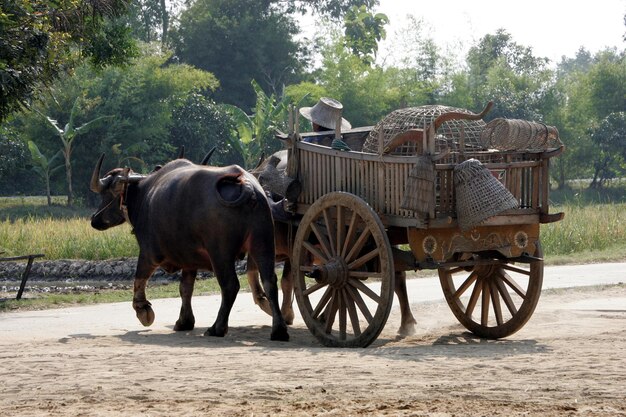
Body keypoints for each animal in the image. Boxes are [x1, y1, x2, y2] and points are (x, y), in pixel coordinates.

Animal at [89, 154, 288, 340]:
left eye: (105, 194)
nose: (94, 220)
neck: (144, 194)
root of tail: (247, 186)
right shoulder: (189, 258)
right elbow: (185, 288)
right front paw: (184, 321)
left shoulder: (148, 252)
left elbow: (139, 278)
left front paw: (143, 311)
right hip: (263, 242)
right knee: (270, 281)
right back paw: (279, 329)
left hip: (220, 252)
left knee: (230, 285)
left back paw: (217, 328)